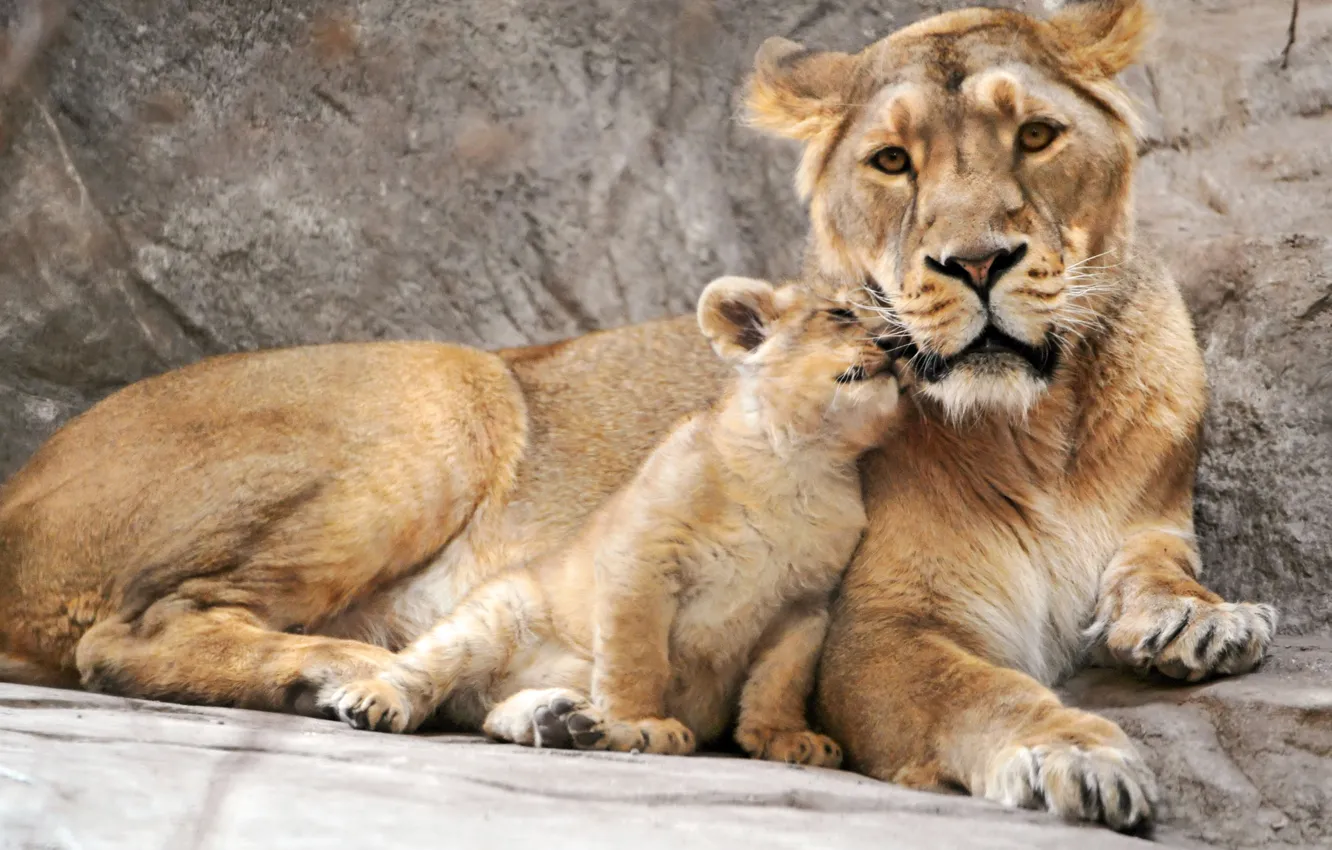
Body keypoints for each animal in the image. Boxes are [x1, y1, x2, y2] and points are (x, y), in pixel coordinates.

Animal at [322, 276, 900, 769]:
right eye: (842, 313)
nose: (898, 346)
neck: (799, 465)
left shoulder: (805, 604)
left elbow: (781, 678)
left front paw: (783, 737)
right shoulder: (641, 557)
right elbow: (636, 656)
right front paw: (641, 724)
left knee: (489, 715)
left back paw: (559, 720)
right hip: (493, 615)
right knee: (423, 669)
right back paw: (376, 700)